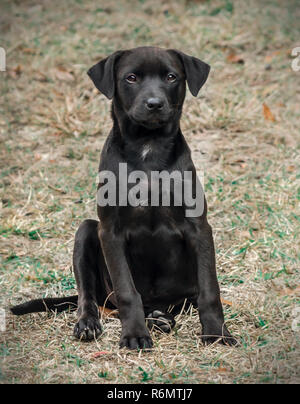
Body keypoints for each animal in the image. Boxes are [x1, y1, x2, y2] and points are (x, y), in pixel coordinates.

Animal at [10, 46, 236, 348]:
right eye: (131, 78)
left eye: (171, 76)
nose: (154, 104)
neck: (148, 148)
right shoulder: (111, 232)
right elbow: (128, 292)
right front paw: (135, 335)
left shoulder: (199, 228)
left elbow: (210, 289)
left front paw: (216, 333)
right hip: (86, 232)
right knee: (90, 297)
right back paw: (92, 323)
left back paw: (159, 318)